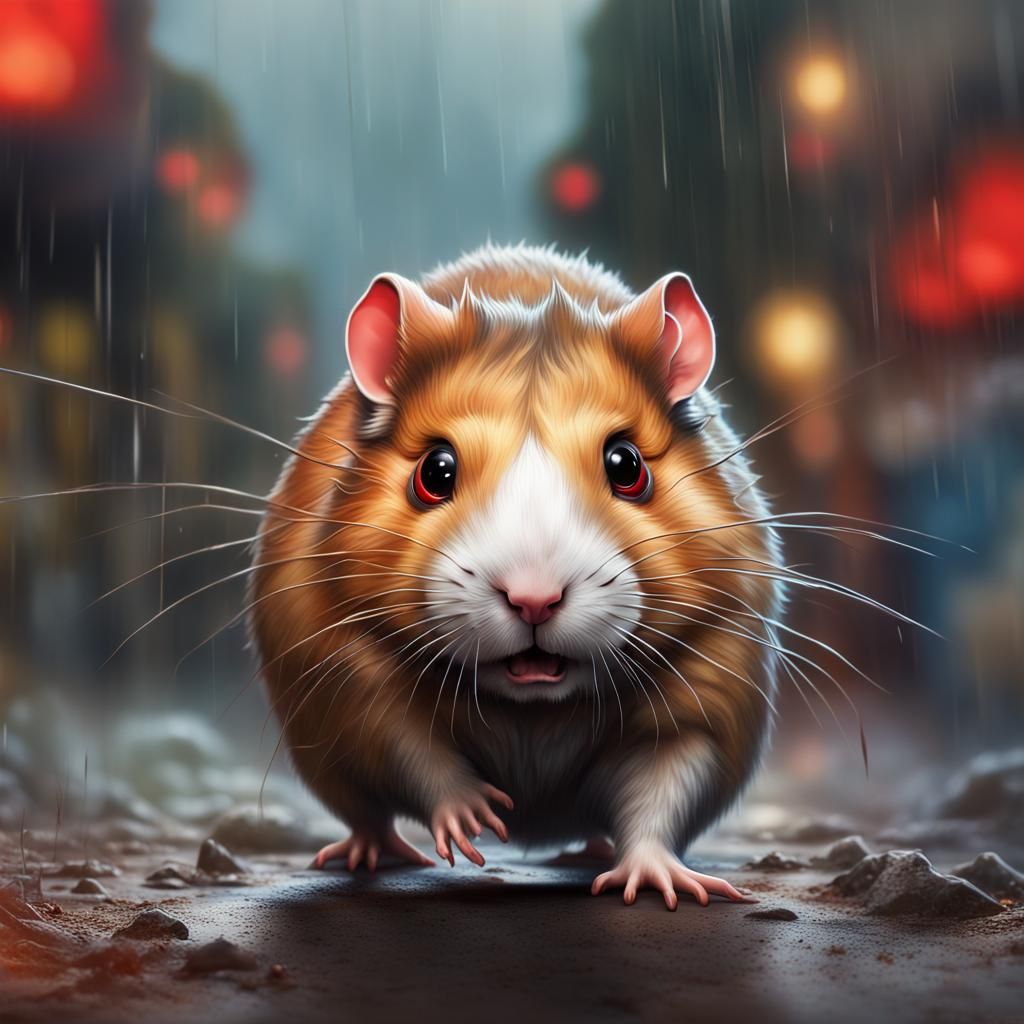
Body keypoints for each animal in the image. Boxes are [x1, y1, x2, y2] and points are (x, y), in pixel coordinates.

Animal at [249, 243, 782, 909]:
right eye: (436, 471)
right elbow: (406, 748)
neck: (533, 711)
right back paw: (368, 852)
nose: (533, 599)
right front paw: (471, 814)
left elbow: (669, 781)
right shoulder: (346, 672)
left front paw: (657, 875)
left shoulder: (709, 683)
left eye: (627, 465)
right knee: (367, 810)